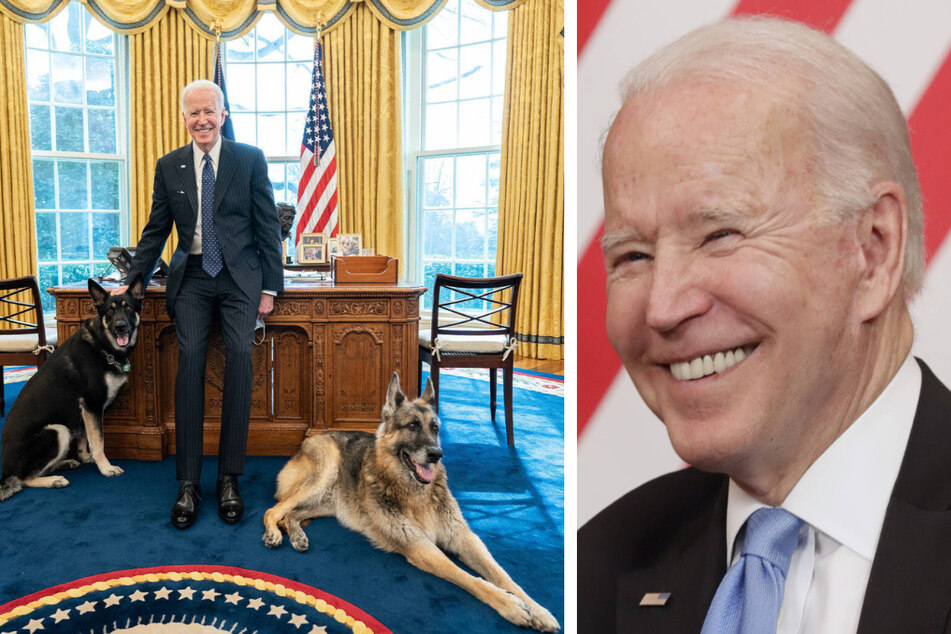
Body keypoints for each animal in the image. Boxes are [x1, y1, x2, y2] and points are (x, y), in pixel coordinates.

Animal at [0, 274, 145, 502]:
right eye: (110, 311)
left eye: (129, 308)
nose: (120, 327)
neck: (103, 345)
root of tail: (5, 472)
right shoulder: (92, 406)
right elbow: (98, 442)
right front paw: (106, 468)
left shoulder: (85, 411)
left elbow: (85, 437)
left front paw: (86, 457)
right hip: (57, 431)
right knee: (25, 479)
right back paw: (54, 480)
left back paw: (64, 463)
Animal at [262, 372, 556, 628]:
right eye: (412, 426)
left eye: (435, 428)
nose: (436, 454)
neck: (416, 493)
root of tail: (310, 438)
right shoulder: (420, 546)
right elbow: (469, 578)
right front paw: (509, 604)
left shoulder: (463, 537)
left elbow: (503, 576)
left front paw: (538, 609)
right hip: (323, 475)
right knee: (273, 511)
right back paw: (274, 534)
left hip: (328, 503)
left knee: (292, 514)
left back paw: (298, 536)